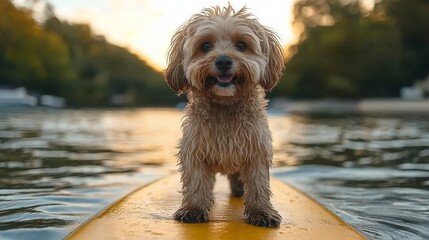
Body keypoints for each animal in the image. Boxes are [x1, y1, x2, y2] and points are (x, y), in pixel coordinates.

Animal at [164, 4, 284, 228]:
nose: (223, 61)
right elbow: (196, 182)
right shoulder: (195, 150)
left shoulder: (257, 149)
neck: (225, 104)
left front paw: (261, 212)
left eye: (241, 44)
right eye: (205, 46)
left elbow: (258, 183)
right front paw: (193, 209)